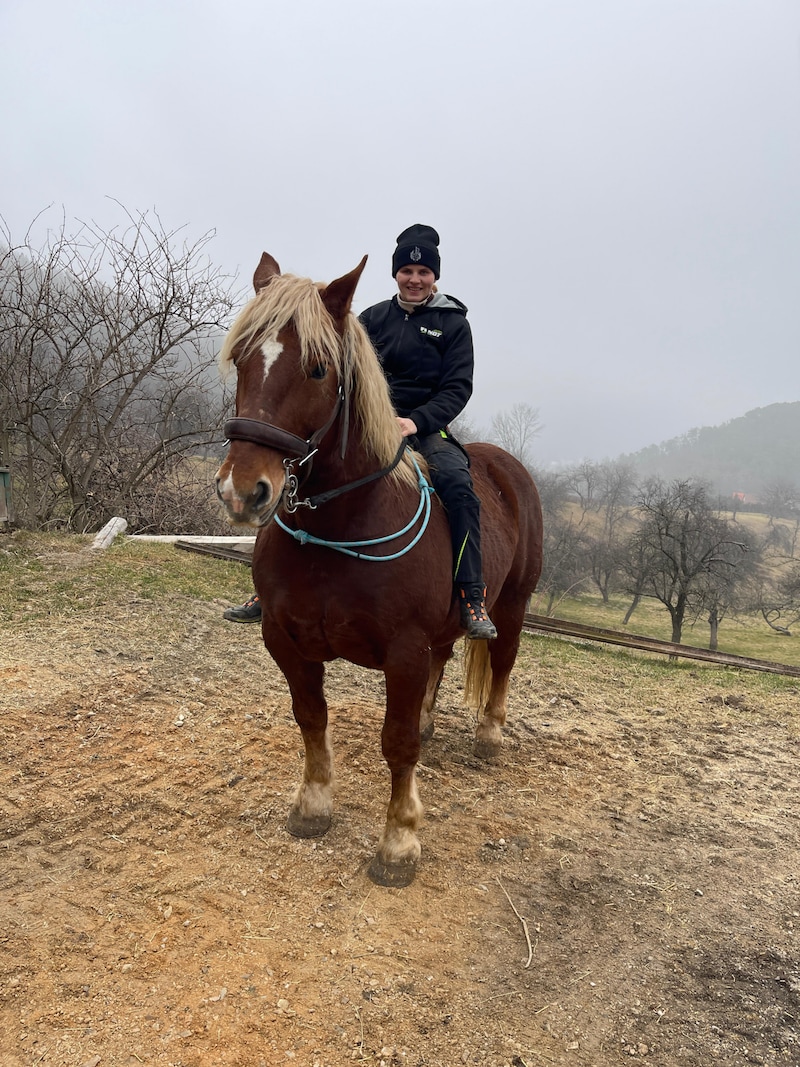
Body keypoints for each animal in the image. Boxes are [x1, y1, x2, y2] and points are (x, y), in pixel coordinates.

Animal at [216, 253, 541, 887]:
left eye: (318, 369)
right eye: (241, 358)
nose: (244, 491)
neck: (342, 524)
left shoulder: (405, 651)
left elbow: (398, 744)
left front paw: (398, 844)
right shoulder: (284, 638)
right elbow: (311, 716)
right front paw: (313, 806)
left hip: (512, 604)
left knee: (503, 659)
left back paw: (489, 734)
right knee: (446, 661)